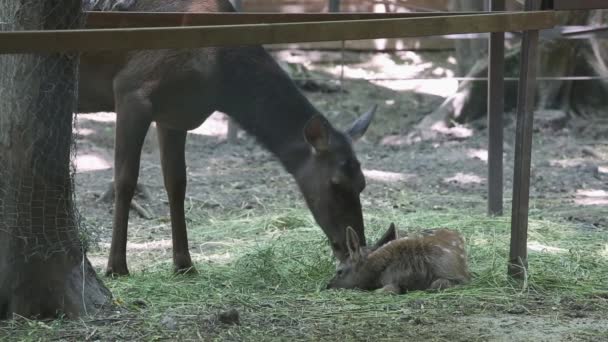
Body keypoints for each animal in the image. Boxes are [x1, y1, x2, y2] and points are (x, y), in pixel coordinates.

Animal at [81, 0, 376, 276]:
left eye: (362, 183)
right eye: (336, 184)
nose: (355, 248)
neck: (219, 79)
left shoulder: (174, 115)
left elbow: (177, 183)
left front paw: (184, 264)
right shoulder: (131, 90)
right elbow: (125, 180)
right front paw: (116, 267)